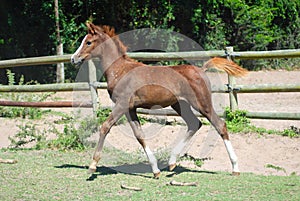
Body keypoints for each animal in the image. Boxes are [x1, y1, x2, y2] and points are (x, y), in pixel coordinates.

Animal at [71, 22, 247, 178]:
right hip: (180, 105)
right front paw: (155, 170)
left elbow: (105, 127)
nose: (73, 59)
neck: (120, 70)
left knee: (220, 125)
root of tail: (201, 70)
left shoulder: (121, 104)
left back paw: (235, 168)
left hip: (202, 103)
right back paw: (172, 162)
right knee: (194, 124)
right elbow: (139, 135)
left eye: (88, 42)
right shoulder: (130, 108)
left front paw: (93, 165)